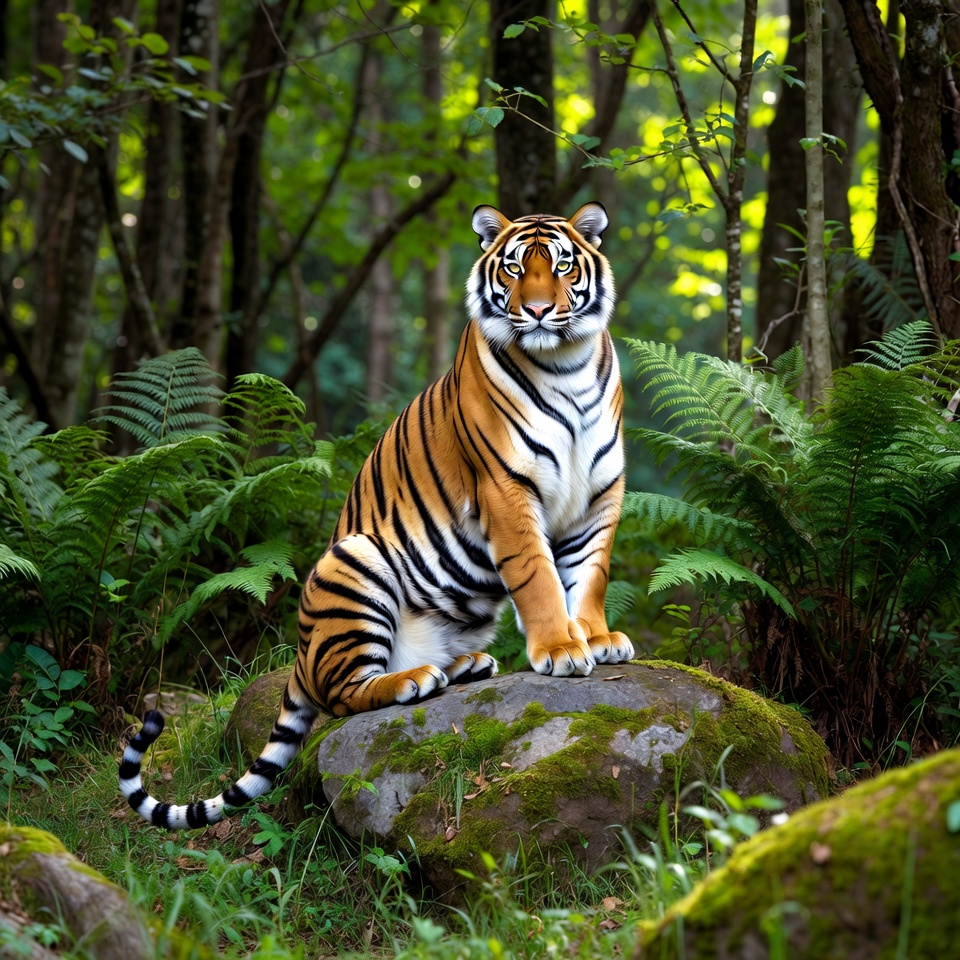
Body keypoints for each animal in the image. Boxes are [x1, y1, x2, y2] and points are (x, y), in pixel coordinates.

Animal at [119, 201, 634, 829]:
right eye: (514, 270)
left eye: (562, 266)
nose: (536, 310)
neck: (567, 365)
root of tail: (300, 653)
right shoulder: (506, 489)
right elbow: (538, 577)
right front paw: (561, 649)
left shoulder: (601, 493)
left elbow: (590, 575)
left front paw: (597, 637)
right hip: (354, 563)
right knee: (342, 697)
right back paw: (413, 681)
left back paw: (463, 667)